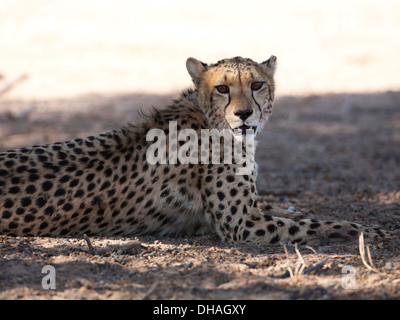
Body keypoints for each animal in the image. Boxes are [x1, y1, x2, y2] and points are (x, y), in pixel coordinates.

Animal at [0, 56, 396, 244]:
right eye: (223, 88)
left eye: (256, 84)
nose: (244, 114)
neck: (210, 119)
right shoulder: (244, 226)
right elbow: (318, 224)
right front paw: (371, 231)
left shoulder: (251, 211)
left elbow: (298, 213)